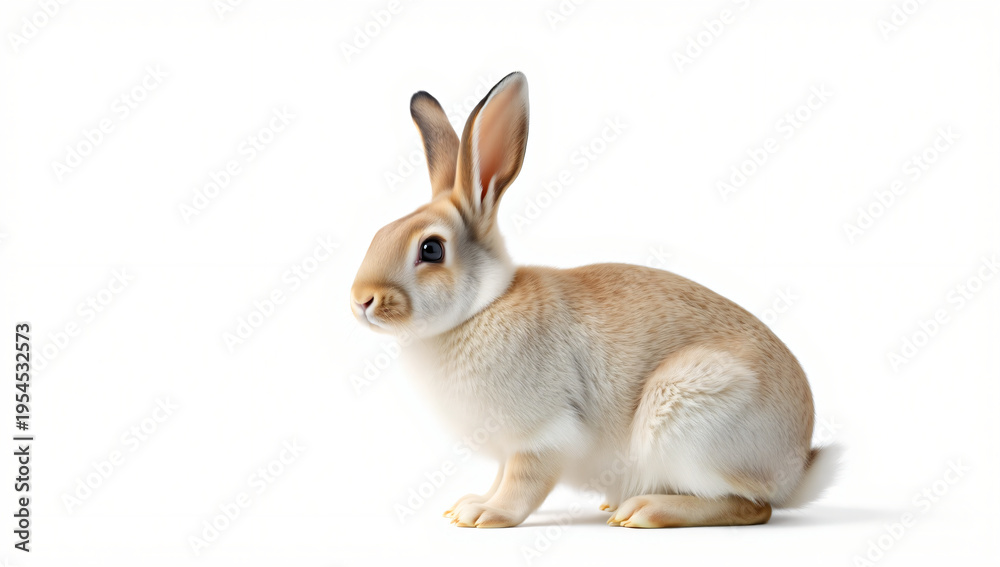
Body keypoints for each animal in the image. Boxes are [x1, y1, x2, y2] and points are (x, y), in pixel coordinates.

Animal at [350, 71, 838, 528]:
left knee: (750, 506)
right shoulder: (507, 447)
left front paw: (487, 515)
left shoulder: (544, 435)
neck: (482, 306)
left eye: (431, 249)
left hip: (688, 419)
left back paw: (643, 511)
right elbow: (500, 475)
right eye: (379, 234)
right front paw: (468, 505)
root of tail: (796, 468)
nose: (361, 300)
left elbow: (522, 482)